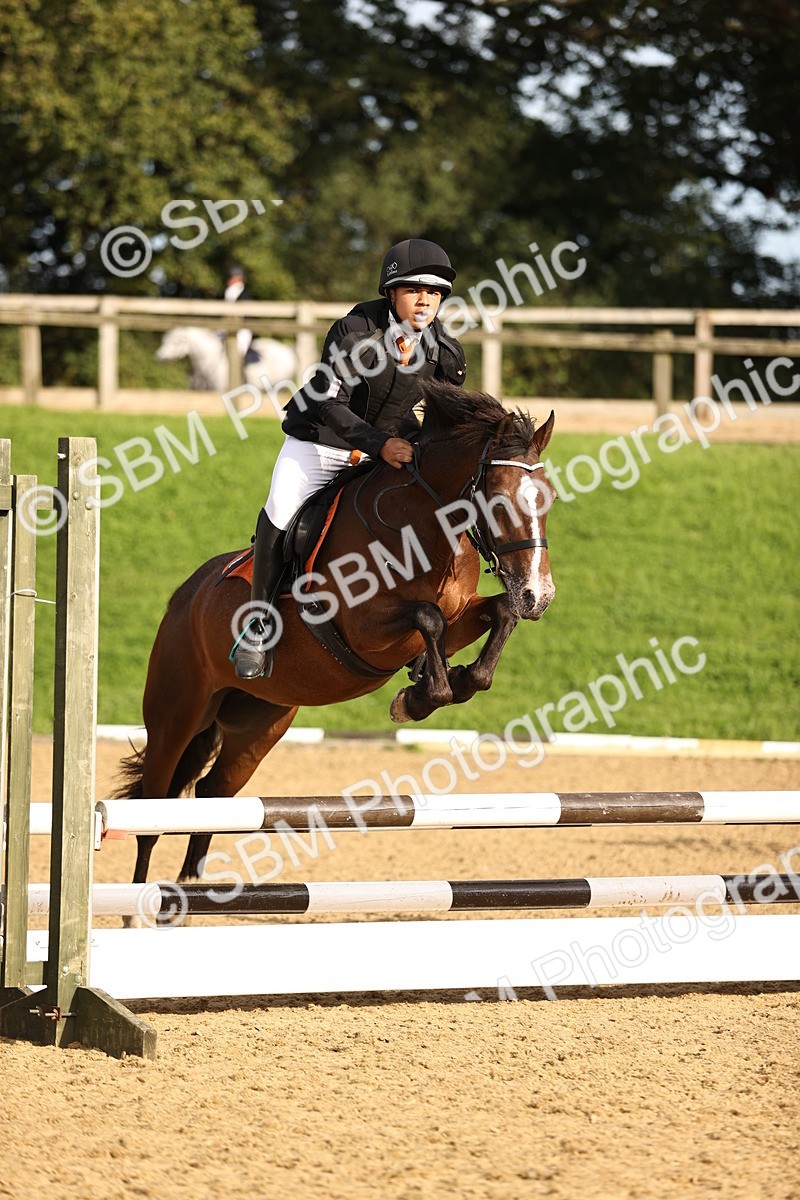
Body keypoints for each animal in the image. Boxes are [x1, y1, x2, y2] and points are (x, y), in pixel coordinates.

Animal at [115, 380, 557, 887]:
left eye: (549, 499)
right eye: (499, 501)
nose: (539, 596)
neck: (422, 524)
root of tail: (183, 598)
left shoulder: (459, 615)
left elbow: (496, 613)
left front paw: (451, 681)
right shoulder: (366, 628)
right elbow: (428, 618)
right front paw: (421, 697)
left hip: (258, 723)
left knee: (212, 794)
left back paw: (190, 890)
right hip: (176, 713)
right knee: (154, 809)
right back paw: (141, 902)